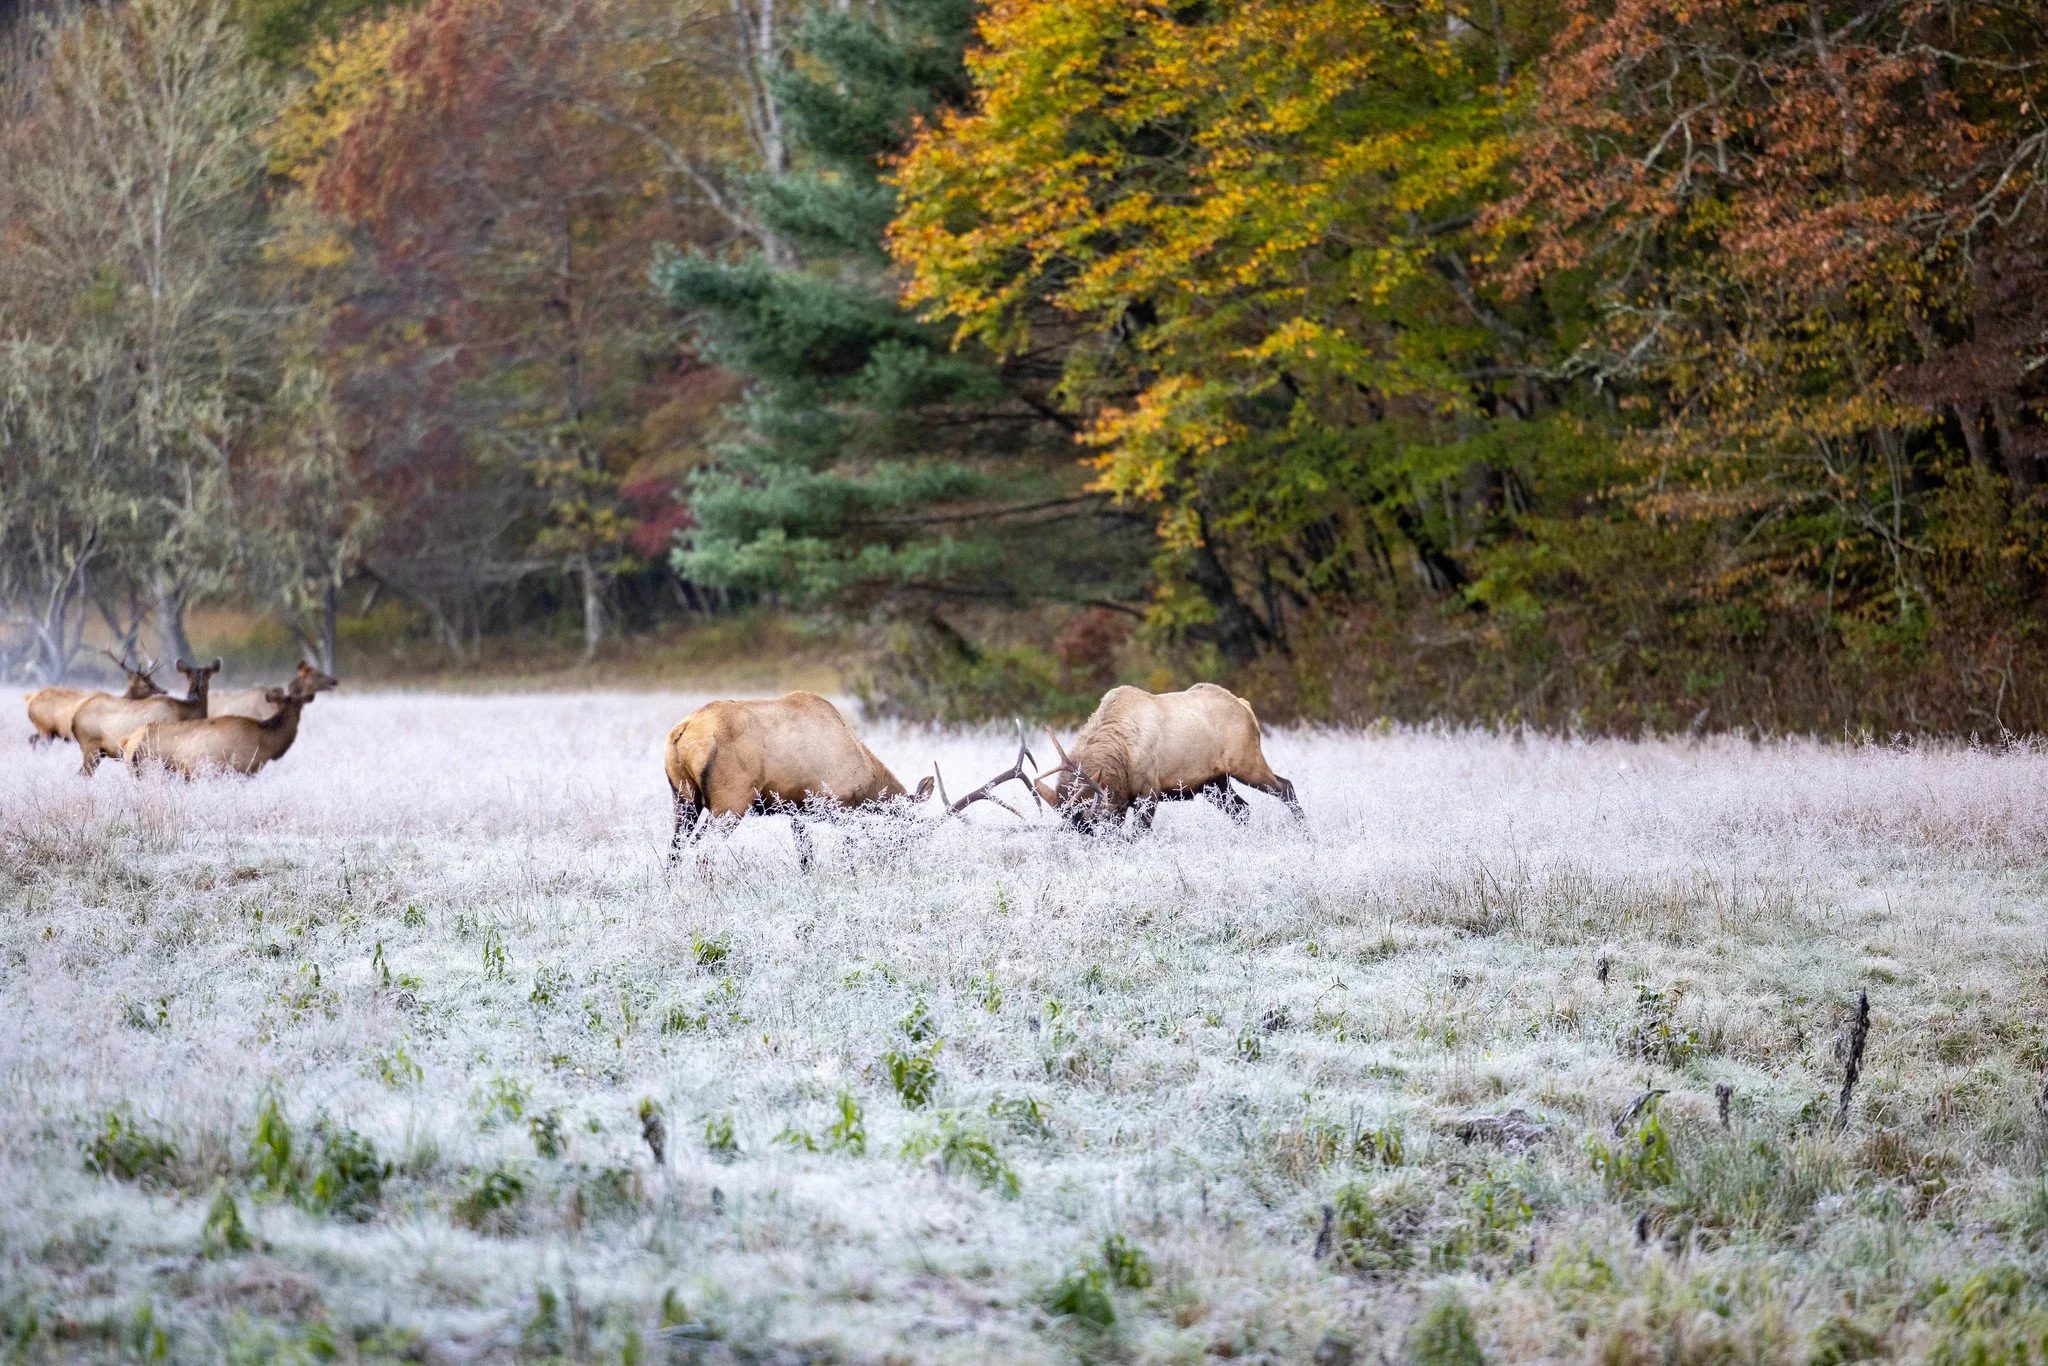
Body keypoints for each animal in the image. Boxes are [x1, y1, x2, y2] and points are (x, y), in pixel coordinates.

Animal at [25, 653, 166, 746]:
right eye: (146, 684)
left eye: (152, 680)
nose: (164, 691)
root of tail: (30, 700)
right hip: (45, 728)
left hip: (47, 730)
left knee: (32, 739)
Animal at [665, 691, 935, 870]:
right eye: (909, 831)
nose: (901, 864)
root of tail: (683, 730)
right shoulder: (842, 808)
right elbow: (846, 854)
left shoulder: (797, 811)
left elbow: (806, 859)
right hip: (730, 804)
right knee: (704, 851)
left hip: (684, 801)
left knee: (675, 852)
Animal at [951, 683, 1302, 831]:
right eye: (1069, 831)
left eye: (1090, 830)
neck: (1119, 759)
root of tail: (1245, 706)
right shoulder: (1123, 800)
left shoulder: (1149, 792)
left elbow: (1137, 835)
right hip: (1214, 783)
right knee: (1243, 810)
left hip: (1246, 761)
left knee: (1285, 786)